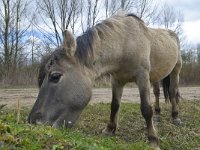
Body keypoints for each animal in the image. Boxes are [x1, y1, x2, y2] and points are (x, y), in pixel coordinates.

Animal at [27, 12, 182, 149]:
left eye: (55, 76)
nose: (32, 121)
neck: (125, 43)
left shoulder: (142, 76)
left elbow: (146, 108)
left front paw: (153, 140)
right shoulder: (117, 80)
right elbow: (114, 105)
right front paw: (109, 129)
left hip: (175, 71)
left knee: (172, 92)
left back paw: (175, 117)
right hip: (155, 76)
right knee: (157, 93)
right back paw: (158, 115)